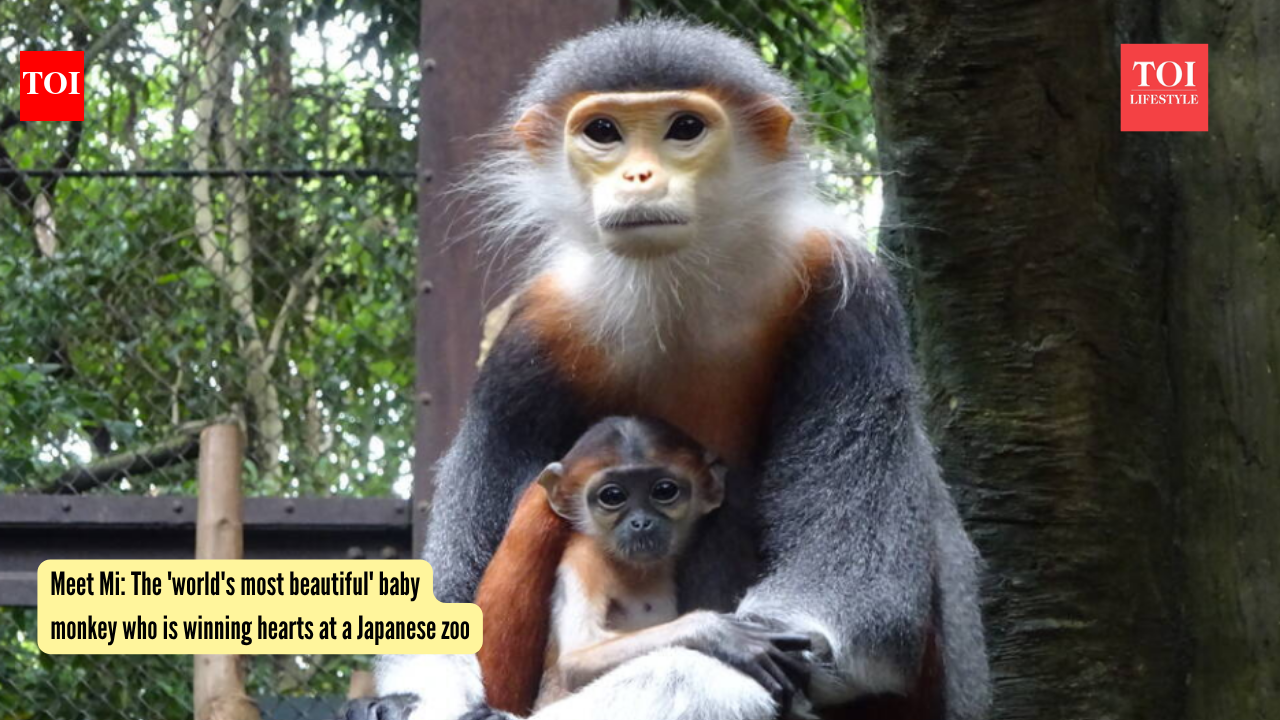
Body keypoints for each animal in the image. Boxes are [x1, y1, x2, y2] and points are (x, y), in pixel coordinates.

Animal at [467, 416, 812, 719]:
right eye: (612, 496)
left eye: (664, 491)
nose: (641, 522)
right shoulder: (585, 557)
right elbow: (576, 660)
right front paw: (716, 632)